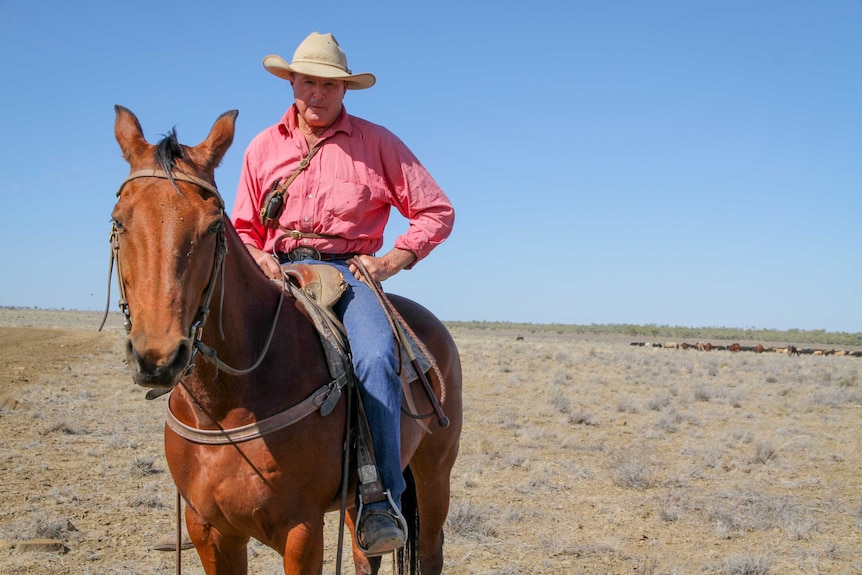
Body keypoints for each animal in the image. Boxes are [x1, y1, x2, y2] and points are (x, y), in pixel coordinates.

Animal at [110, 104, 462, 575]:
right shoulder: (209, 530)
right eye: (118, 221)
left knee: (428, 550)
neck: (227, 404)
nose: (157, 356)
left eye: (213, 226)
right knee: (364, 553)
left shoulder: (302, 531)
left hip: (434, 472)